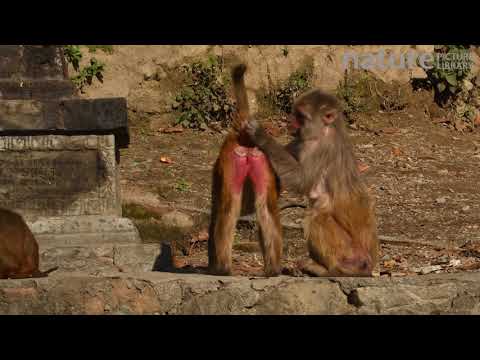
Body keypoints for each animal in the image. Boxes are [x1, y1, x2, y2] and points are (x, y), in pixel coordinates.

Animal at [208, 64, 284, 278]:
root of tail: (242, 134)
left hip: (233, 158)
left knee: (228, 208)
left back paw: (222, 269)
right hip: (259, 158)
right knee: (265, 208)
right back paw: (273, 269)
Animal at [244, 87, 378, 276]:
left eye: (300, 116)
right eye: (294, 113)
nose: (289, 122)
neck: (325, 129)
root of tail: (371, 263)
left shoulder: (319, 147)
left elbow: (301, 180)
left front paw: (260, 135)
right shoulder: (300, 141)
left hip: (352, 253)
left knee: (316, 217)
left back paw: (335, 269)